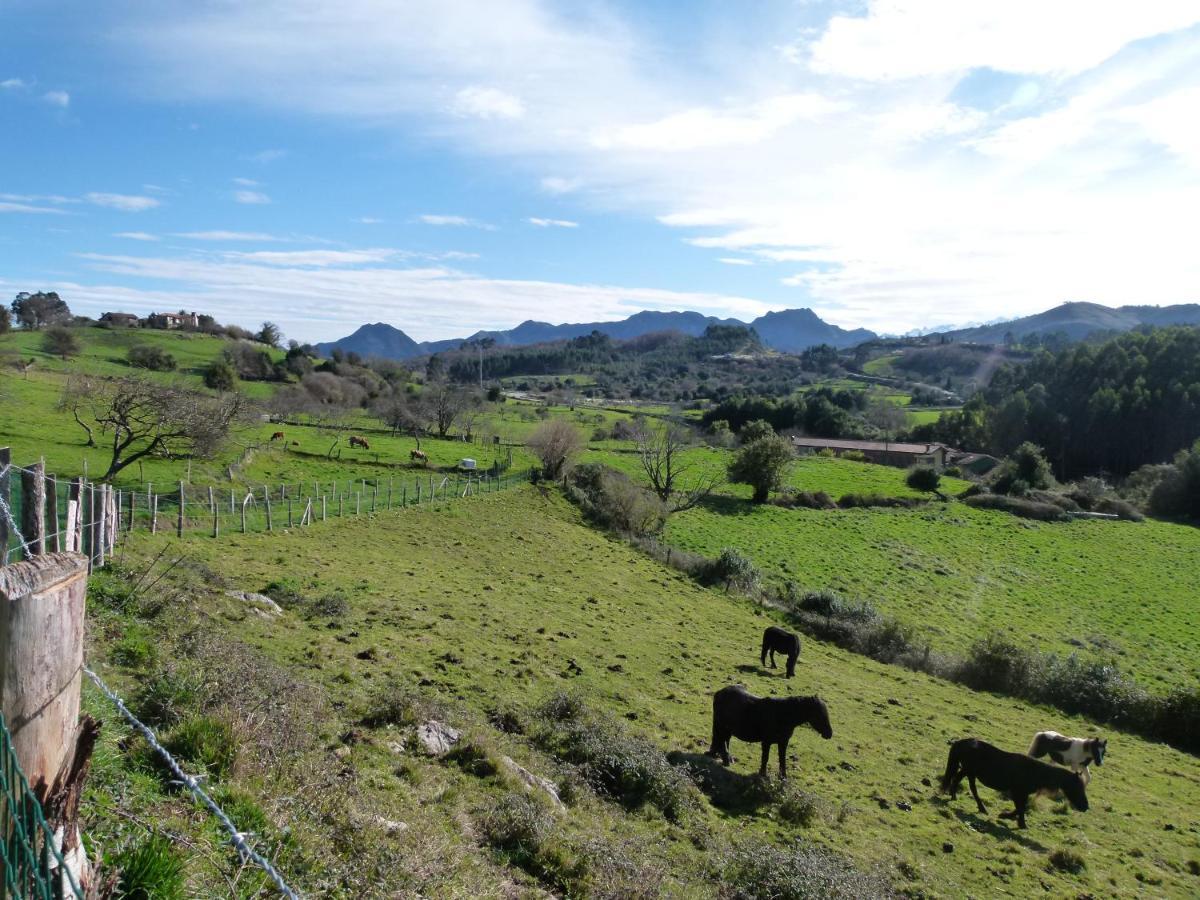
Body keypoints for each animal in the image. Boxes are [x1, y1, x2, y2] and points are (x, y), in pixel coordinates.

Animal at [940, 739, 1094, 830]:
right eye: (1077, 787)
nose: (1085, 807)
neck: (1035, 772)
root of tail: (961, 742)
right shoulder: (1017, 791)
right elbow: (1020, 808)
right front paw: (1015, 821)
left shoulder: (1022, 793)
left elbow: (1021, 807)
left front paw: (1010, 818)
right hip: (969, 770)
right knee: (967, 785)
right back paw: (976, 806)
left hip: (968, 771)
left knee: (960, 782)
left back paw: (957, 798)